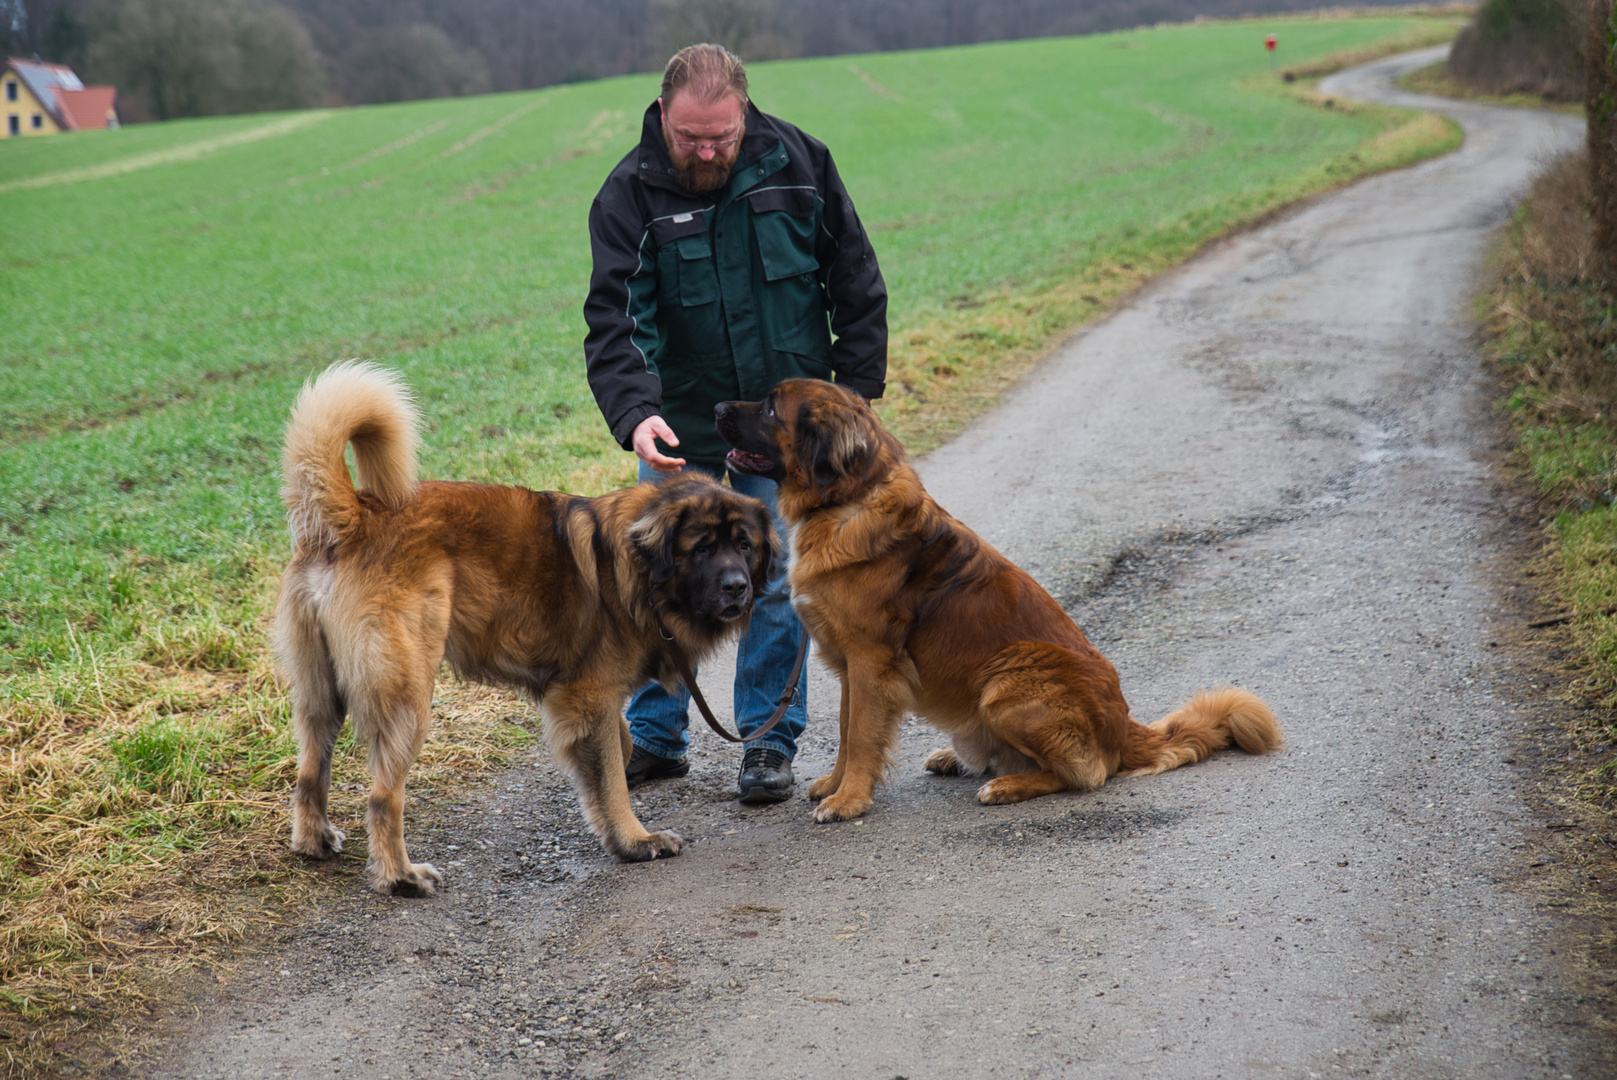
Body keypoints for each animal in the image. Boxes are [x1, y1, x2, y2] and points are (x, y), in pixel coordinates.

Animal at [273, 362, 776, 892]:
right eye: (702, 549)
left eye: (744, 545)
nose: (737, 588)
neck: (638, 570)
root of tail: (354, 516)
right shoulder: (589, 694)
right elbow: (612, 774)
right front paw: (635, 840)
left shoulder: (586, 699)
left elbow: (617, 749)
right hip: (406, 694)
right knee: (383, 796)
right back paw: (401, 877)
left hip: (321, 691)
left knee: (310, 772)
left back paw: (314, 840)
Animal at [714, 378, 1280, 818]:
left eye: (770, 407)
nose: (716, 408)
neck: (848, 500)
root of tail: (1124, 728)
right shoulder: (851, 666)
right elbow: (849, 730)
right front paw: (837, 785)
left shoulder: (870, 661)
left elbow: (860, 735)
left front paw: (850, 799)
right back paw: (960, 759)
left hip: (1006, 682)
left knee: (1084, 774)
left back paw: (1005, 784)